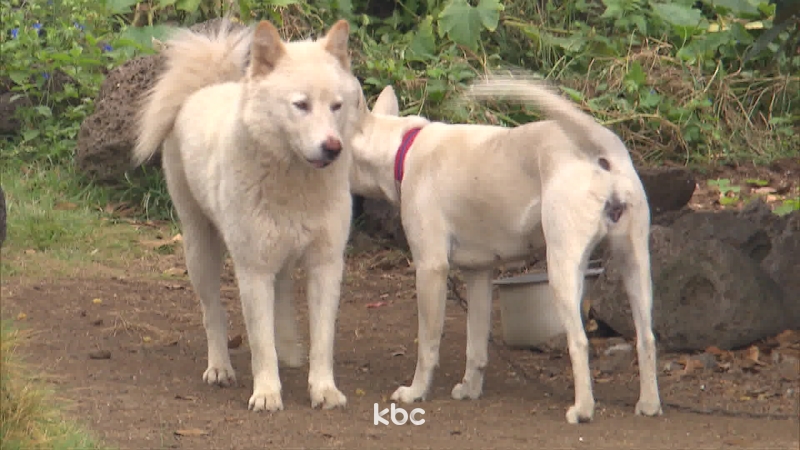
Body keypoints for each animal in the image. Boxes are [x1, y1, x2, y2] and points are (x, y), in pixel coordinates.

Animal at [132, 17, 362, 412]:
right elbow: (259, 342)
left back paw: (290, 351)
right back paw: (220, 368)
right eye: (300, 105)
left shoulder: (325, 265)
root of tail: (207, 87)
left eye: (336, 106)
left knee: (282, 295)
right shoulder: (253, 270)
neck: (294, 184)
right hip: (201, 250)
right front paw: (267, 393)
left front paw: (324, 389)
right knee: (213, 313)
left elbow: (323, 340)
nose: (333, 148)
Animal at [350, 75, 664, 424]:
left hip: (563, 270)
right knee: (646, 339)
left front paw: (416, 392)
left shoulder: (430, 270)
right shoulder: (479, 276)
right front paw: (470, 389)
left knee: (580, 342)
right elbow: (476, 346)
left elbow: (428, 345)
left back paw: (582, 409)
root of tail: (604, 151)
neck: (403, 149)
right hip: (635, 266)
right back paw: (649, 404)